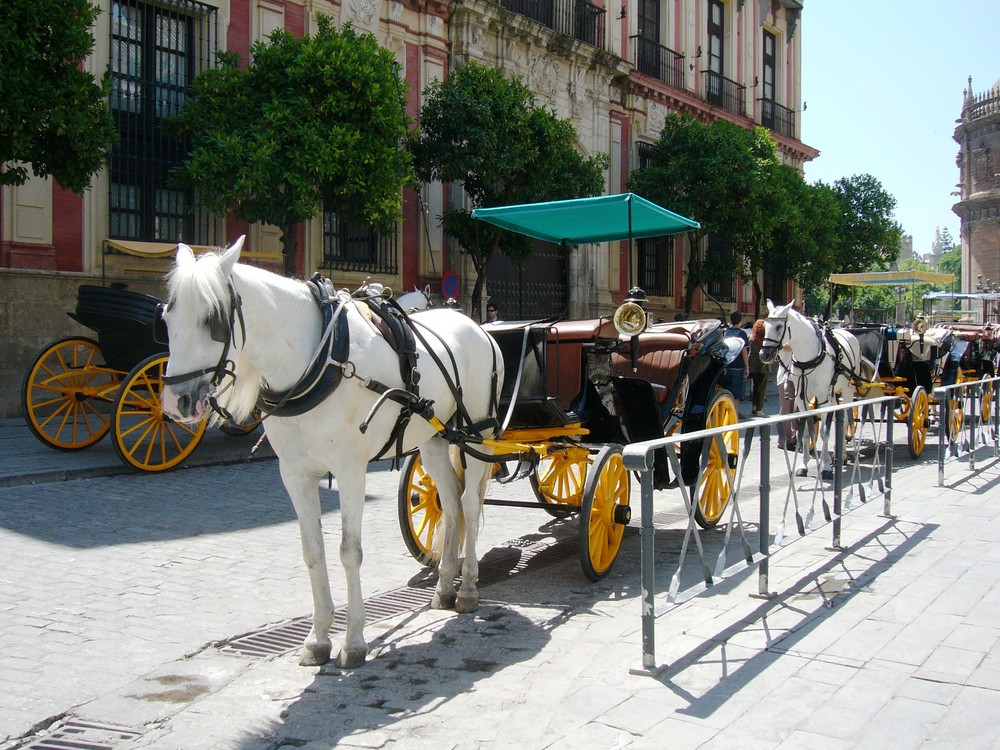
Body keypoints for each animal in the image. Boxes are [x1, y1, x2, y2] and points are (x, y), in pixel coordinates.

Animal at [160, 236, 504, 668]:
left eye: (212, 320)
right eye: (166, 317)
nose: (176, 403)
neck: (320, 361)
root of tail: (480, 329)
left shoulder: (351, 470)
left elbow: (348, 551)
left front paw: (353, 640)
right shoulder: (294, 474)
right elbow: (313, 552)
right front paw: (318, 637)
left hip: (477, 435)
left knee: (471, 507)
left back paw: (469, 587)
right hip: (436, 441)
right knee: (453, 504)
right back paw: (444, 587)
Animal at [760, 298, 864, 476]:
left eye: (779, 326)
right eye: (765, 325)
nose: (764, 354)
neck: (809, 356)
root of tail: (848, 332)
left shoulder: (822, 398)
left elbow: (824, 432)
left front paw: (826, 467)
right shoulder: (801, 398)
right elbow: (807, 431)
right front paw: (803, 465)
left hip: (847, 390)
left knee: (846, 419)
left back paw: (843, 454)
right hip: (832, 393)